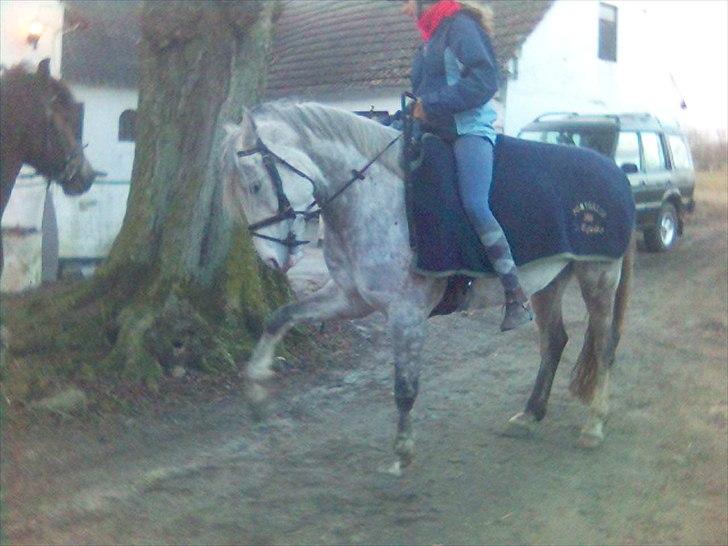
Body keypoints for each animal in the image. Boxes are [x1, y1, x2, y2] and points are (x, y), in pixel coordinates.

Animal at [221, 101, 635, 474]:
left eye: (254, 184)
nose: (272, 260)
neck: (378, 200)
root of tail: (615, 172)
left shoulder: (406, 312)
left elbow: (405, 386)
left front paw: (402, 451)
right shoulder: (350, 299)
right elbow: (280, 317)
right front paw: (256, 392)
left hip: (598, 275)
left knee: (604, 346)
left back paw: (594, 425)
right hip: (549, 281)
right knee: (554, 342)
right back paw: (530, 415)